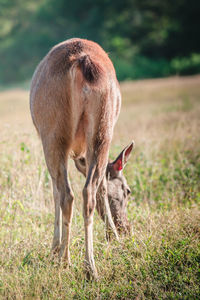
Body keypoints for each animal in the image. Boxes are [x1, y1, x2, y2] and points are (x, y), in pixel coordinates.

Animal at [29, 38, 134, 278]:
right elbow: (101, 184)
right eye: (127, 190)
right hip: (103, 126)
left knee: (66, 193)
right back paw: (90, 267)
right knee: (88, 192)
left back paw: (64, 260)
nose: (126, 229)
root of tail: (82, 63)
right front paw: (112, 237)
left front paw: (54, 247)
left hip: (53, 130)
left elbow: (54, 191)